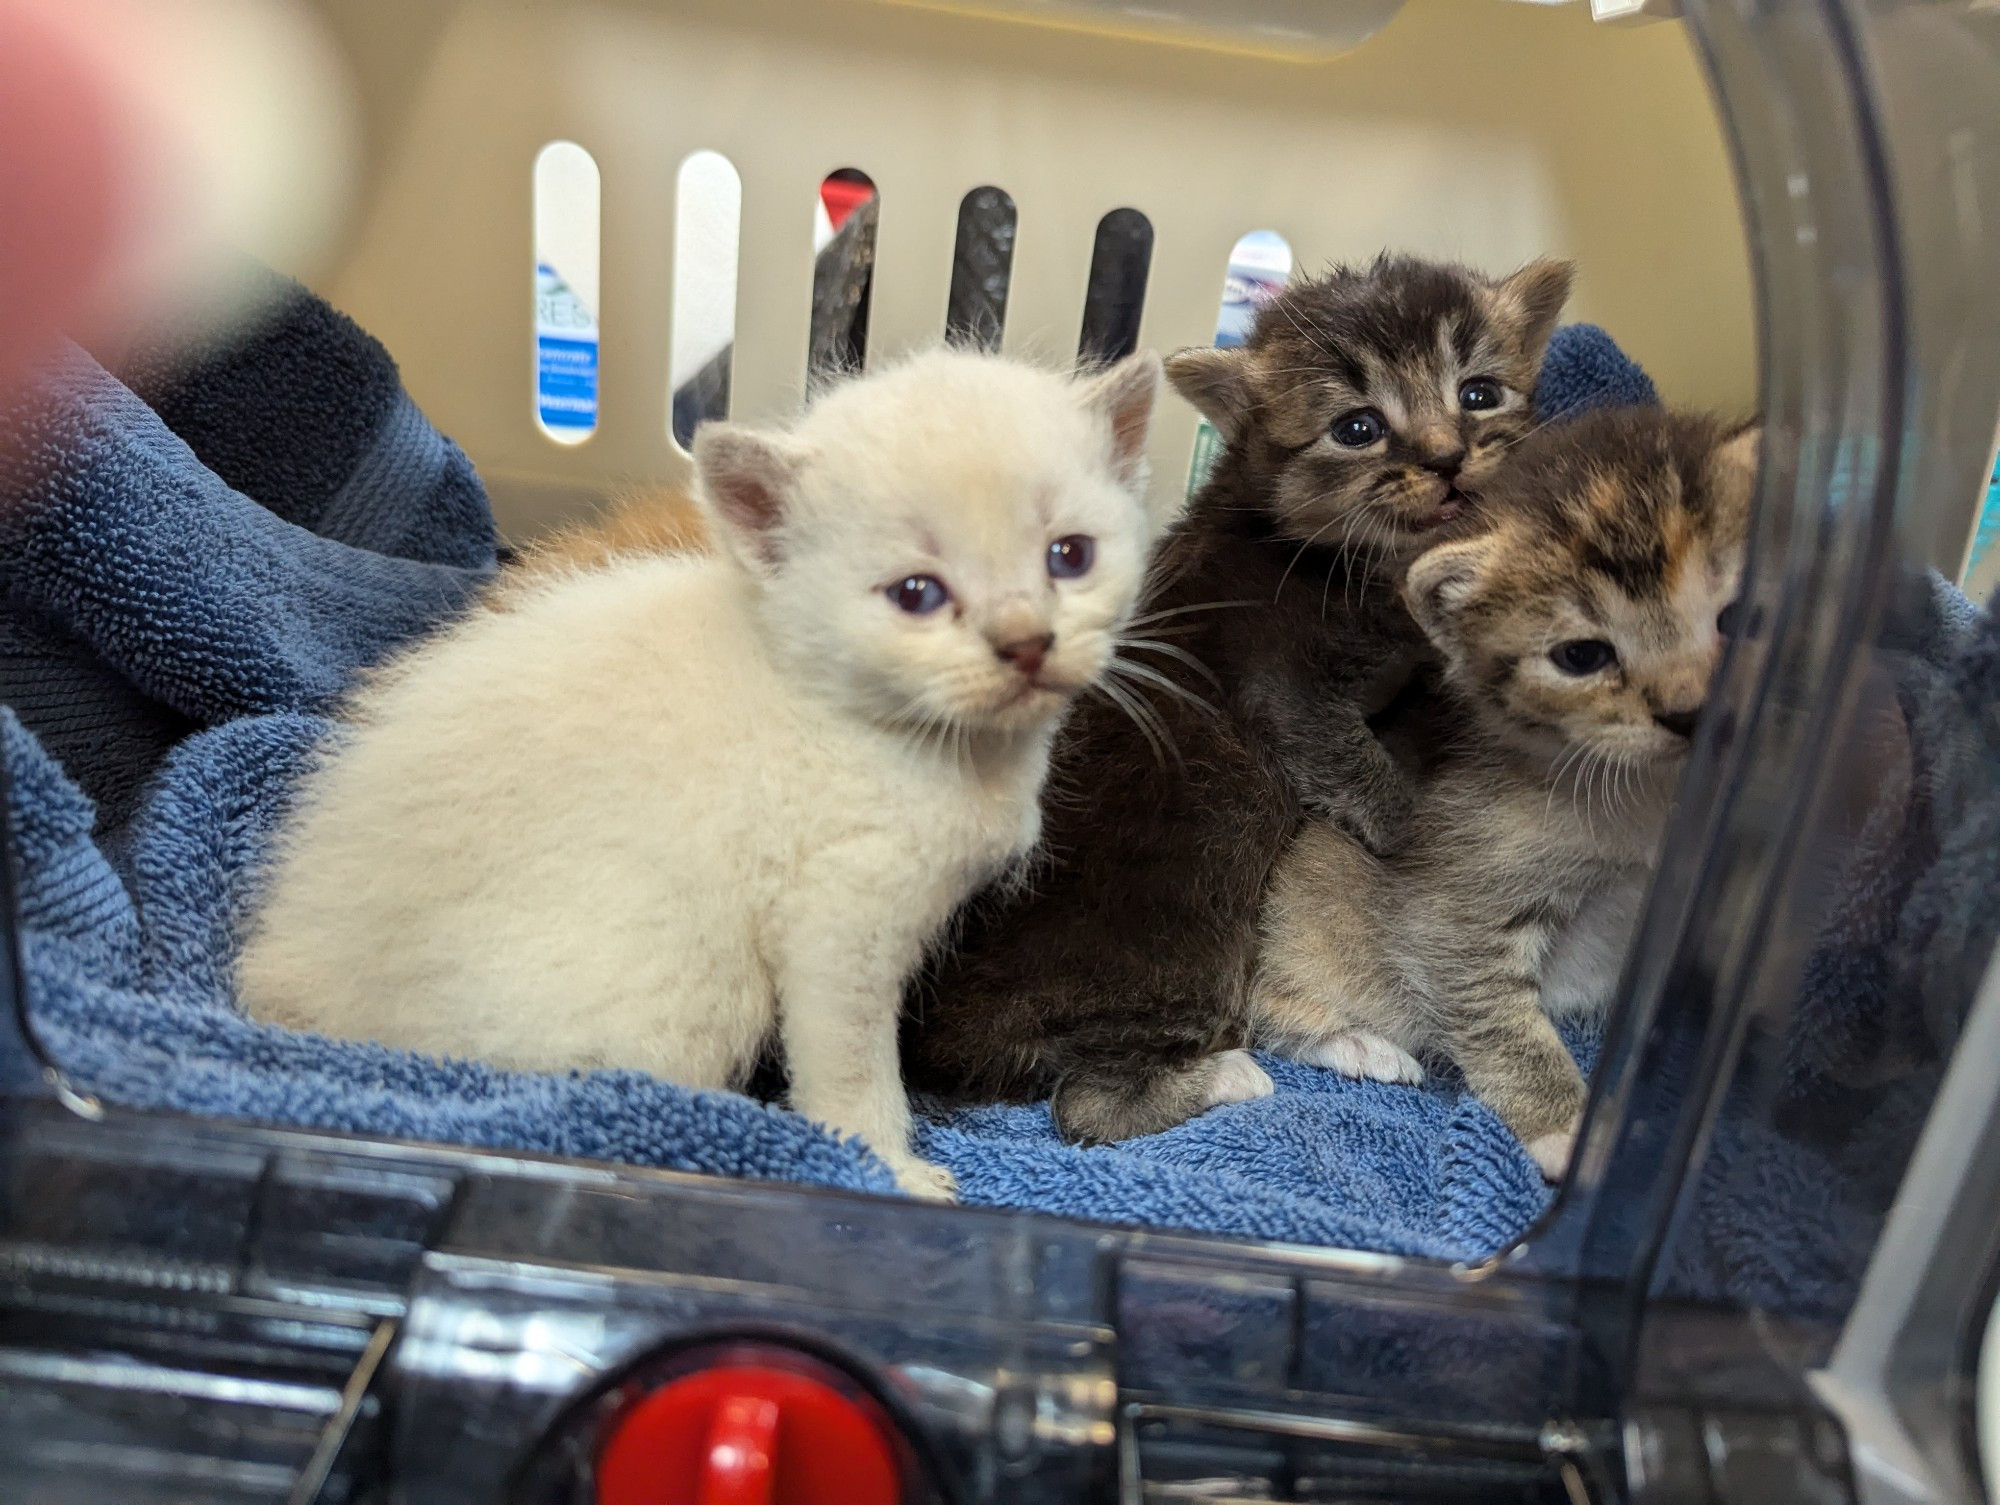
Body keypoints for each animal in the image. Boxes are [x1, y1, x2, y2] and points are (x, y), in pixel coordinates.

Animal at [234, 350, 1168, 1200]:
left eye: (1069, 555)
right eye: (915, 593)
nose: (1026, 642)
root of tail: (294, 980)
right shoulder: (840, 920)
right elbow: (851, 1066)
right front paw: (890, 1170)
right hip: (680, 990)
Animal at [908, 253, 1576, 1136]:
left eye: (1479, 393)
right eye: (1357, 428)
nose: (1446, 457)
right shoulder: (1286, 689)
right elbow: (1363, 774)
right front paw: (1420, 831)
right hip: (1199, 905)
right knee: (1088, 1106)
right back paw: (1230, 1075)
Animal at [1256, 406, 1760, 1184]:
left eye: (1736, 618)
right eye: (1581, 656)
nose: (1689, 713)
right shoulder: (1456, 908)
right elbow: (1496, 1016)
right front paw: (1566, 1130)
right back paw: (1363, 1047)